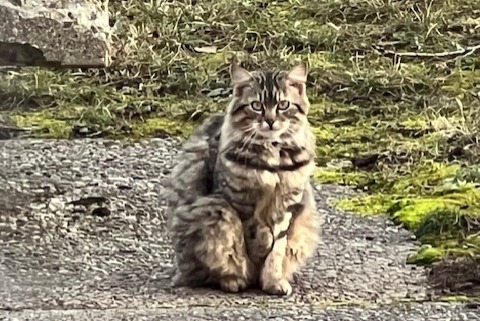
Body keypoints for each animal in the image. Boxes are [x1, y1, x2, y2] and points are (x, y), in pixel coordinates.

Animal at [167, 60, 320, 296]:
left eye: (283, 105)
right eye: (256, 106)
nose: (270, 121)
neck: (272, 160)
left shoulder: (288, 204)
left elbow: (277, 248)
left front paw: (273, 281)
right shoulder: (239, 199)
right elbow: (251, 235)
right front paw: (257, 255)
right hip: (213, 211)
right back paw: (235, 280)